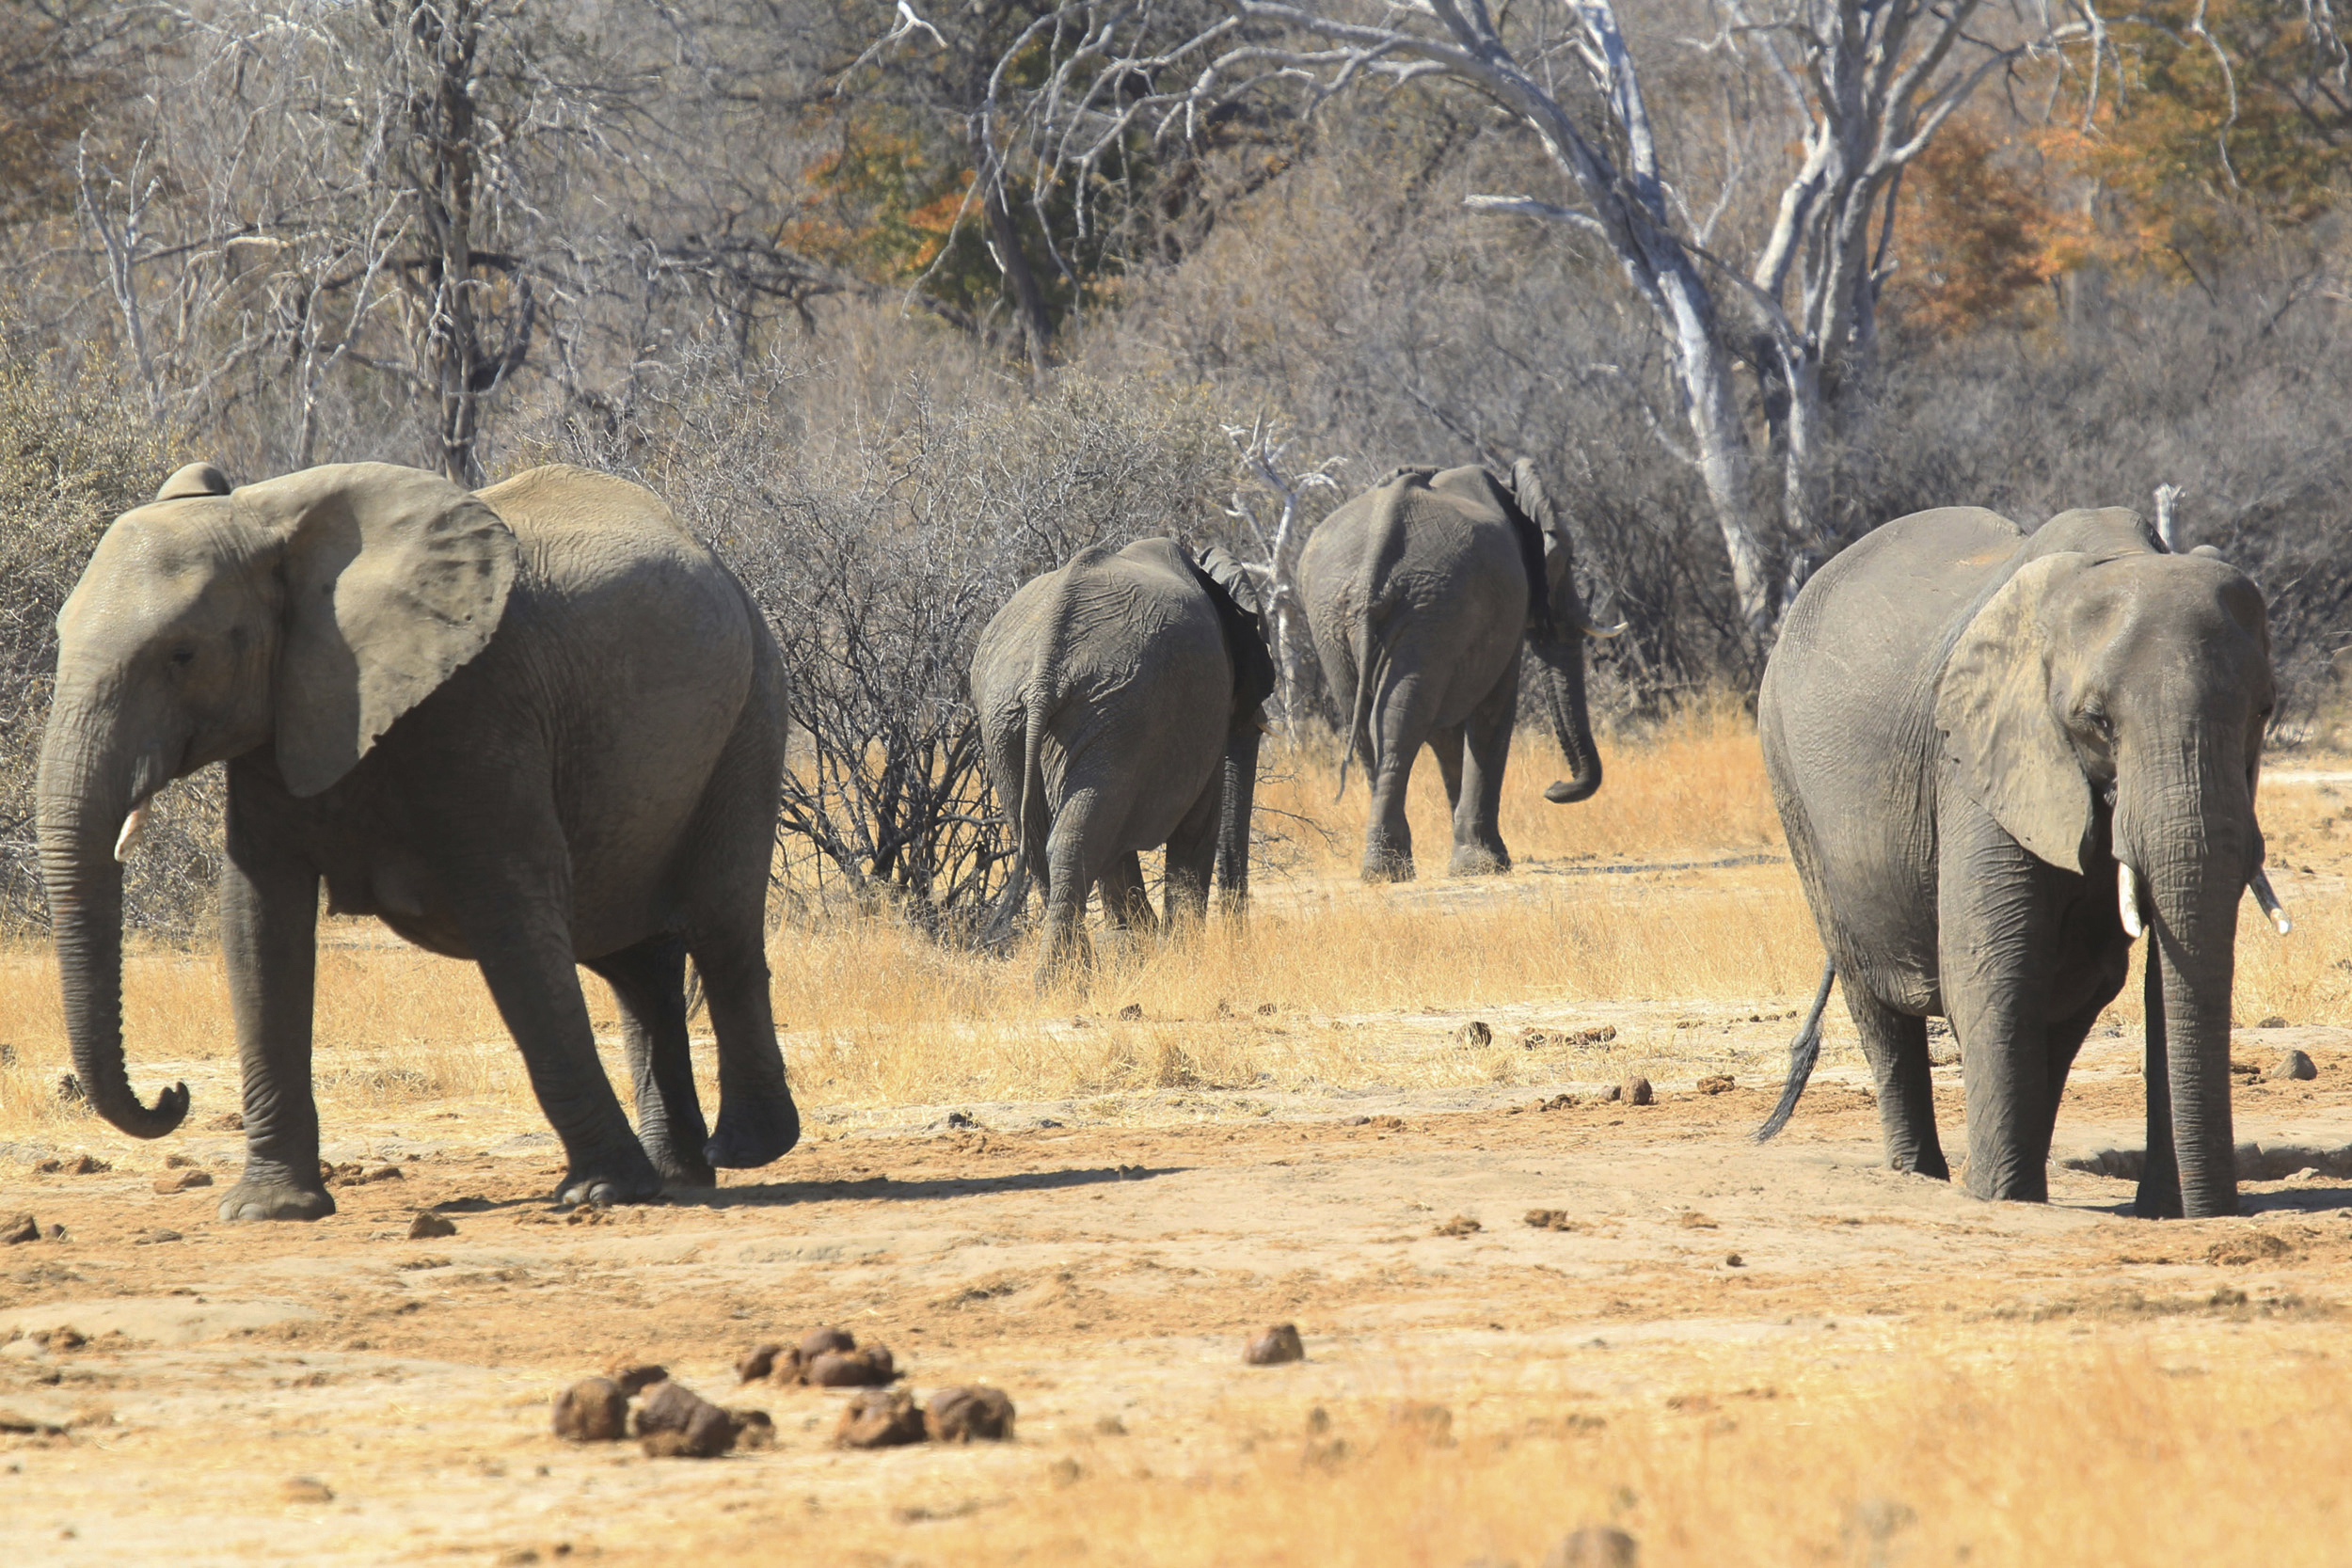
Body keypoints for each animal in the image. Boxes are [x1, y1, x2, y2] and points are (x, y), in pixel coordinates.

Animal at [37, 460, 801, 1220]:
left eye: (183, 654)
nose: (173, 1096)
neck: (269, 520)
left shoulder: (479, 702)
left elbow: (513, 917)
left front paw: (602, 1191)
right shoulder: (283, 717)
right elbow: (257, 924)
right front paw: (269, 1209)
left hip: (752, 708)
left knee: (720, 925)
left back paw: (743, 1151)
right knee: (635, 964)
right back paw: (680, 1172)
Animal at [971, 537, 1274, 977]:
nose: (1241, 946)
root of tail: (1046, 665)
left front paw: (1142, 943)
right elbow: (1199, 824)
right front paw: (1177, 955)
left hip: (1017, 719)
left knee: (1048, 840)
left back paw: (1067, 976)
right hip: (1113, 710)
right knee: (1077, 838)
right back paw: (1069, 978)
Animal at [1297, 461, 1618, 882]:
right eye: (1570, 560)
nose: (1553, 787)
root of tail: (1373, 561)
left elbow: (1445, 732)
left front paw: (1471, 858)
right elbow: (1493, 712)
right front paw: (1487, 865)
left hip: (1341, 616)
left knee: (1366, 721)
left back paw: (1384, 868)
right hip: (1426, 609)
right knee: (1399, 725)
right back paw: (1390, 870)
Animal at [1756, 505, 2282, 1219]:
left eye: (2265, 710)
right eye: (2096, 720)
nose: (2219, 1210)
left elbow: (2158, 973)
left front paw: (2159, 1212)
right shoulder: (1978, 758)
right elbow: (1993, 965)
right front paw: (1997, 1199)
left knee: (2074, 989)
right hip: (1790, 782)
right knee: (1875, 995)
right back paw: (1924, 1176)